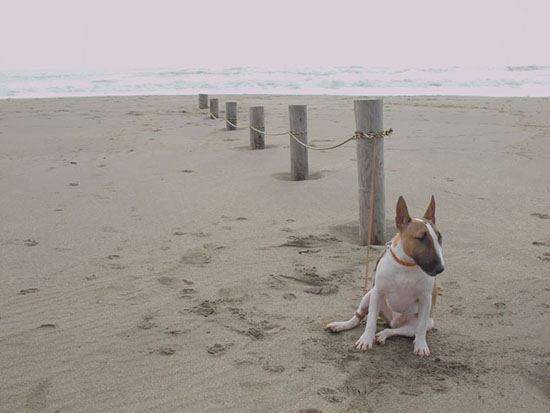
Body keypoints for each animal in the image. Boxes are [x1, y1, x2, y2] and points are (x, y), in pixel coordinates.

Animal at [330, 196, 446, 354]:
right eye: (421, 238)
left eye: (440, 237)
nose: (441, 268)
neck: (406, 265)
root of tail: (393, 320)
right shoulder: (378, 292)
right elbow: (371, 319)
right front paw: (366, 340)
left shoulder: (426, 299)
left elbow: (421, 327)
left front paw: (421, 346)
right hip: (369, 295)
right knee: (358, 317)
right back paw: (342, 325)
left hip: (426, 322)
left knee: (400, 330)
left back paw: (383, 335)